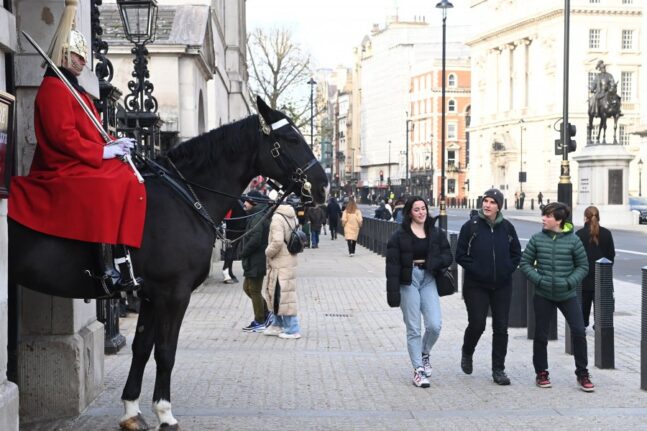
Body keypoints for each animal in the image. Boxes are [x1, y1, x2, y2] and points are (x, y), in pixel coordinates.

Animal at [7, 98, 326, 431]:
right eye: (291, 138)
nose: (323, 186)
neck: (184, 199)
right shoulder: (173, 294)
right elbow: (165, 351)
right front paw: (164, 412)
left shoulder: (150, 295)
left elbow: (142, 348)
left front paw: (132, 411)